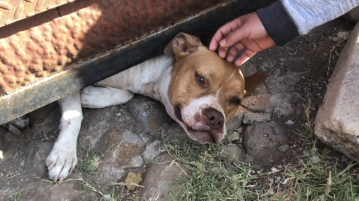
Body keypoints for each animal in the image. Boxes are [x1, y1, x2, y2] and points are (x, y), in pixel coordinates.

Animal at [45, 32, 266, 182]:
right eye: (200, 78)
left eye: (236, 100)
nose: (216, 118)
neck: (152, 76)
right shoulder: (66, 80)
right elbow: (74, 116)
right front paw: (64, 154)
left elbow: (126, 95)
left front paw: (90, 96)